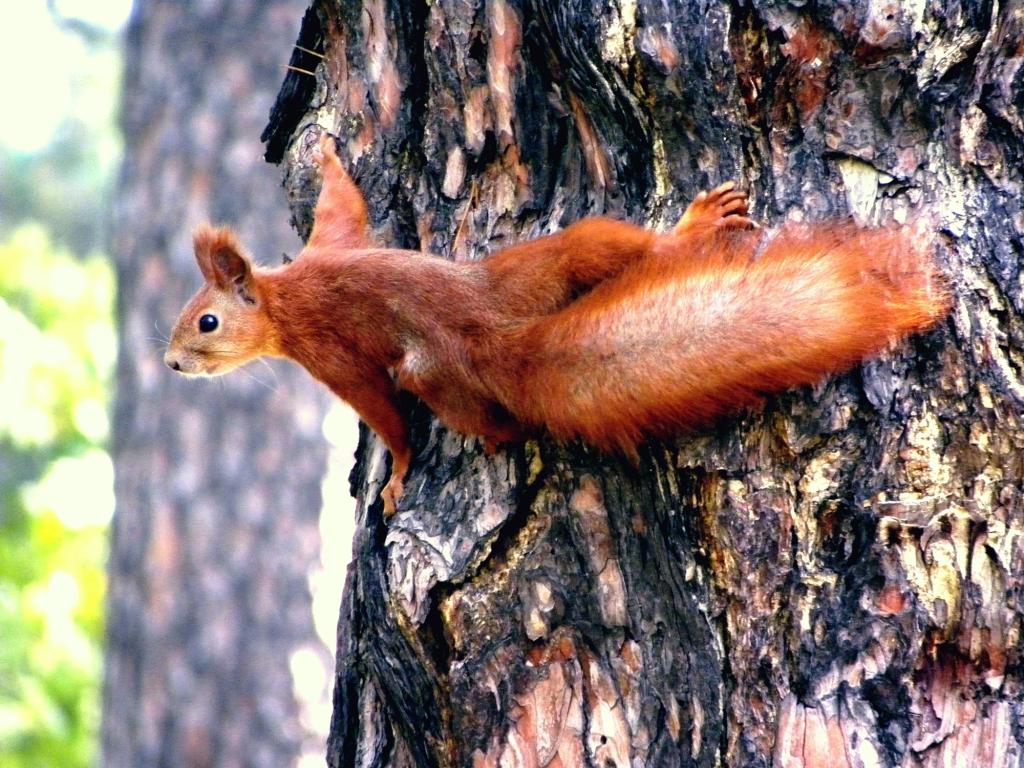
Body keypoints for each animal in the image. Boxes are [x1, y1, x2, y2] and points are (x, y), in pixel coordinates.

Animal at [166, 133, 949, 514]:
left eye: (205, 322)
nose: (172, 365)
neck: (284, 295)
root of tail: (495, 338)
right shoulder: (335, 242)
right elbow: (343, 205)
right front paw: (331, 153)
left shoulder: (331, 353)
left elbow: (383, 416)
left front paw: (398, 474)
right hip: (540, 270)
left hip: (446, 358)